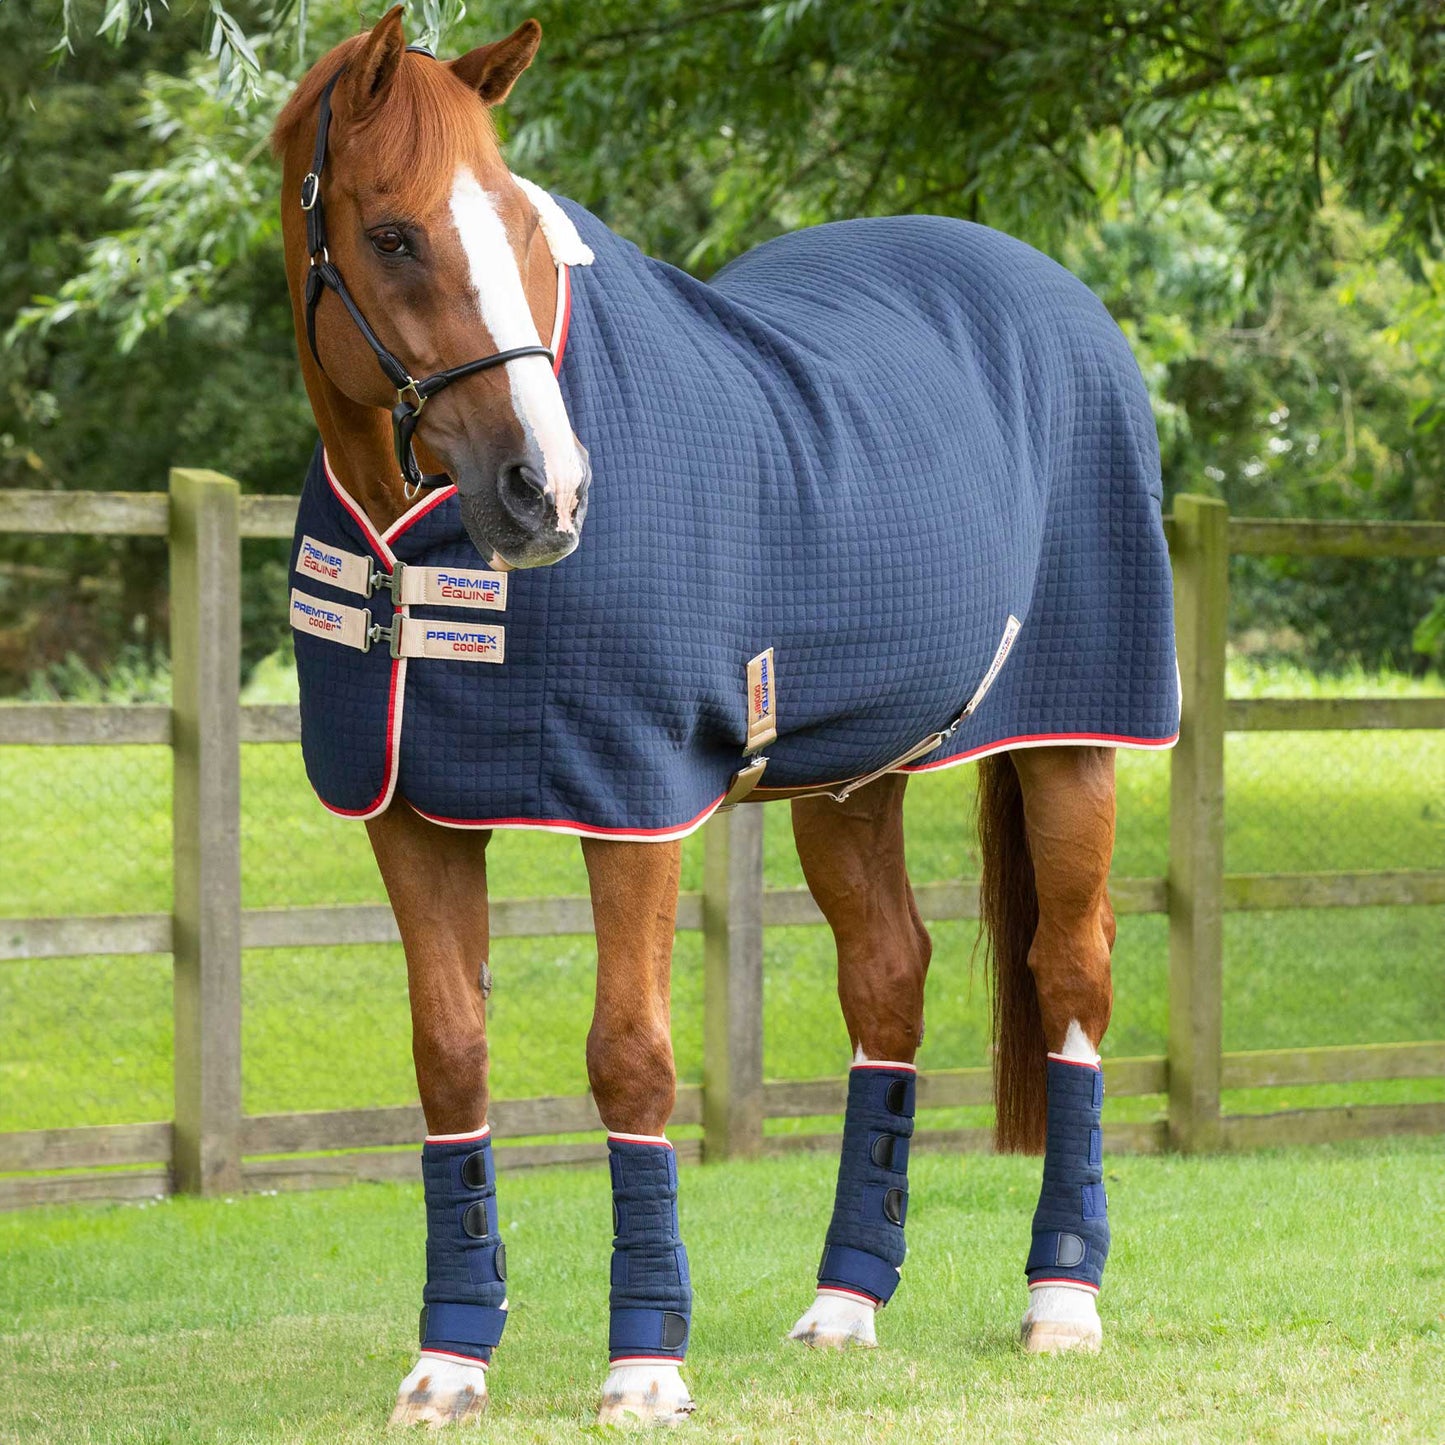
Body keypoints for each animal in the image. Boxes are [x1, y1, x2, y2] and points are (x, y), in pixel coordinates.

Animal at [272, 8, 1178, 1428]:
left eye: (523, 228)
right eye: (395, 234)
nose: (546, 491)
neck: (415, 542)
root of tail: (1052, 290)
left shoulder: (630, 800)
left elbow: (631, 1056)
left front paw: (645, 1362)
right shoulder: (409, 810)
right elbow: (450, 1056)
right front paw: (449, 1359)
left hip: (1077, 742)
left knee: (1070, 975)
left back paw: (1061, 1299)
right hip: (850, 775)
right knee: (887, 980)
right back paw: (844, 1301)